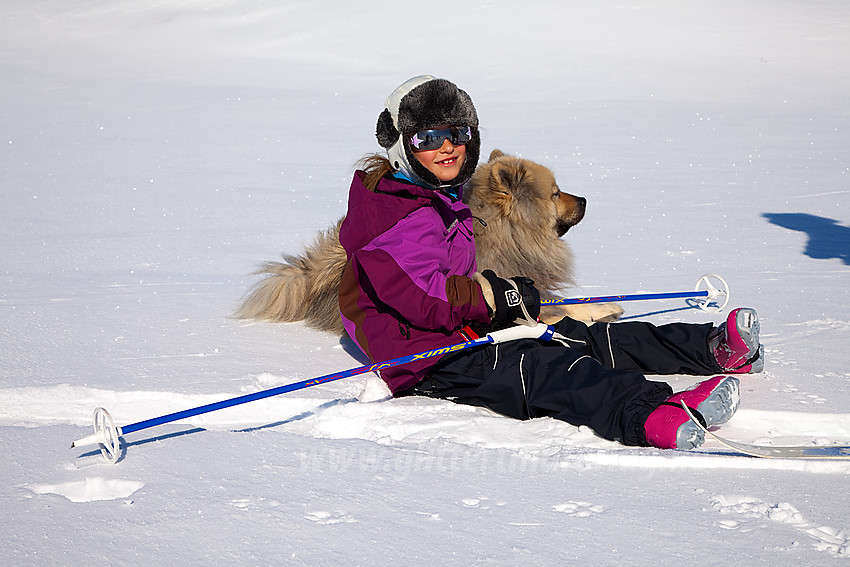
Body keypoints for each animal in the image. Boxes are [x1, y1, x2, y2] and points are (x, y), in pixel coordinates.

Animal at [235, 151, 620, 332]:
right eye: (555, 193)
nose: (584, 200)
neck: (508, 233)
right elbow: (556, 309)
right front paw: (600, 313)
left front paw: (605, 307)